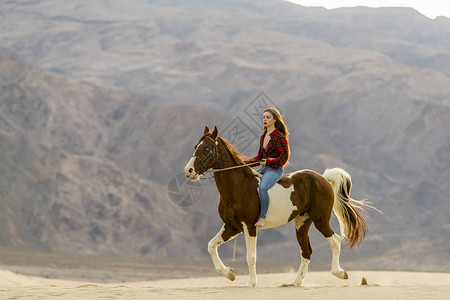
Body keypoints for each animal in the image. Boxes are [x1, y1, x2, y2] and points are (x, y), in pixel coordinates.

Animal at [184, 125, 370, 288]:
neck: (238, 187)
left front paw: (251, 283)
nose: (189, 170)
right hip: (302, 223)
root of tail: (323, 178)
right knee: (306, 251)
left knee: (335, 241)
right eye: (195, 146)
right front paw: (229, 273)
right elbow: (211, 246)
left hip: (320, 219)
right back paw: (295, 282)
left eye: (207, 148)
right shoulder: (232, 226)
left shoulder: (249, 226)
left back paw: (340, 273)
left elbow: (251, 257)